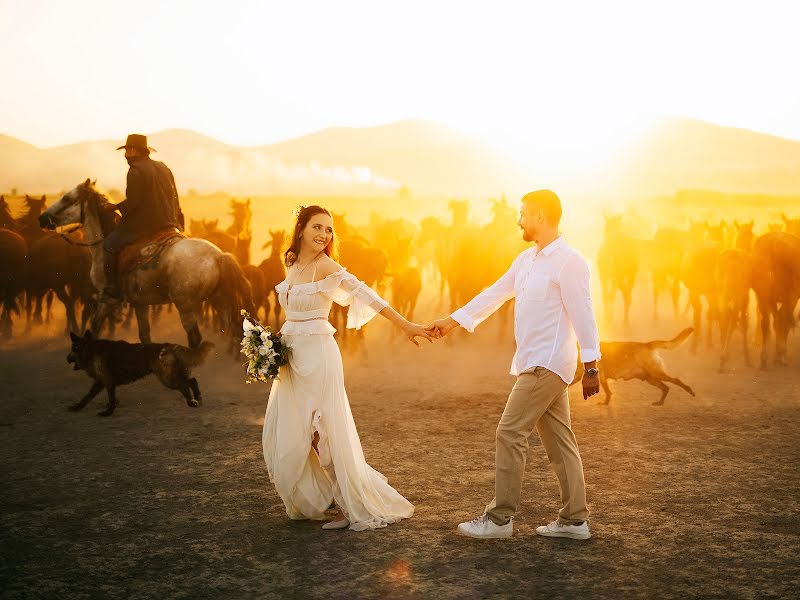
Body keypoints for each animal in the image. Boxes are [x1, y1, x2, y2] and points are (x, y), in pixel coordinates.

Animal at [39, 178, 253, 350]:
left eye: (67, 198)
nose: (42, 218)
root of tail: (220, 256)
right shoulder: (140, 303)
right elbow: (144, 335)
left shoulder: (106, 300)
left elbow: (95, 327)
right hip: (220, 301)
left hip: (186, 306)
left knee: (196, 339)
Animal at [67, 328, 214, 418]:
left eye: (73, 348)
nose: (66, 358)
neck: (89, 349)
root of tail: (169, 346)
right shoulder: (101, 383)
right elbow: (87, 397)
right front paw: (77, 407)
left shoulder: (107, 382)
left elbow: (108, 398)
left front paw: (108, 412)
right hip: (172, 376)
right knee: (191, 381)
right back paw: (197, 399)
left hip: (167, 379)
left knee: (185, 385)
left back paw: (191, 401)